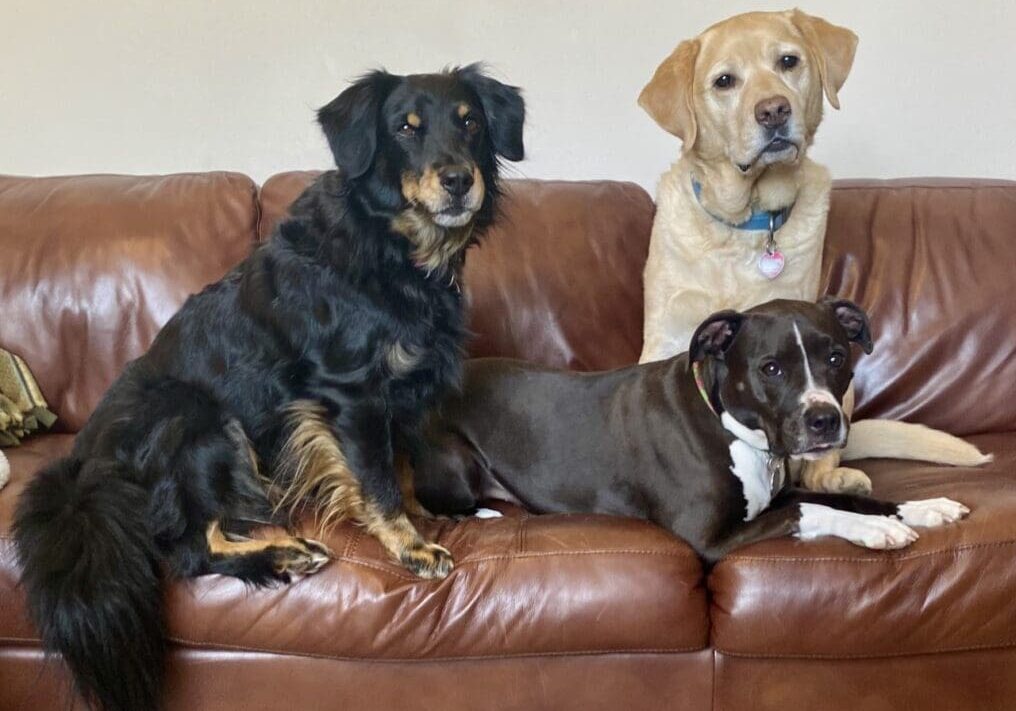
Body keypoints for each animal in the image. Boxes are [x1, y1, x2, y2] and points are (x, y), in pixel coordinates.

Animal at [11, 65, 528, 711]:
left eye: (471, 122)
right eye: (406, 129)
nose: (459, 180)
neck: (394, 248)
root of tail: (83, 472)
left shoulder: (400, 397)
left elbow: (402, 468)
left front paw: (424, 516)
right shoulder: (352, 394)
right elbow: (377, 480)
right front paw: (411, 546)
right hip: (199, 419)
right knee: (188, 548)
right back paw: (286, 550)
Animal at [412, 296, 967, 564]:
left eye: (835, 358)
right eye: (771, 369)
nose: (825, 420)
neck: (734, 431)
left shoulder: (778, 495)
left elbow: (849, 497)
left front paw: (924, 507)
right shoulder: (710, 536)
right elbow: (812, 510)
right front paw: (877, 531)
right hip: (455, 463)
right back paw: (485, 511)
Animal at [638, 9, 987, 493]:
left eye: (788, 61)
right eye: (724, 81)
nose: (773, 109)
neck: (747, 221)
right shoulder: (664, 336)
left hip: (845, 392)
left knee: (818, 463)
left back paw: (838, 477)